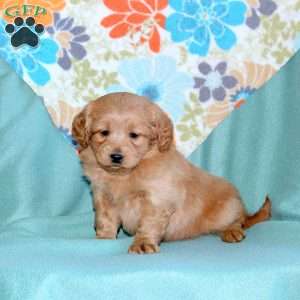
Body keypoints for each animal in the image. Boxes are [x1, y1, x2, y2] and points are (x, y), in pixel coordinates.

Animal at [73, 92, 272, 254]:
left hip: (227, 209)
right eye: (103, 132)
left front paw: (143, 243)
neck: (126, 174)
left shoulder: (157, 199)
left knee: (237, 221)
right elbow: (105, 220)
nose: (116, 156)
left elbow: (148, 223)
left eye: (134, 135)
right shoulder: (103, 196)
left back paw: (232, 231)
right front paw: (104, 238)